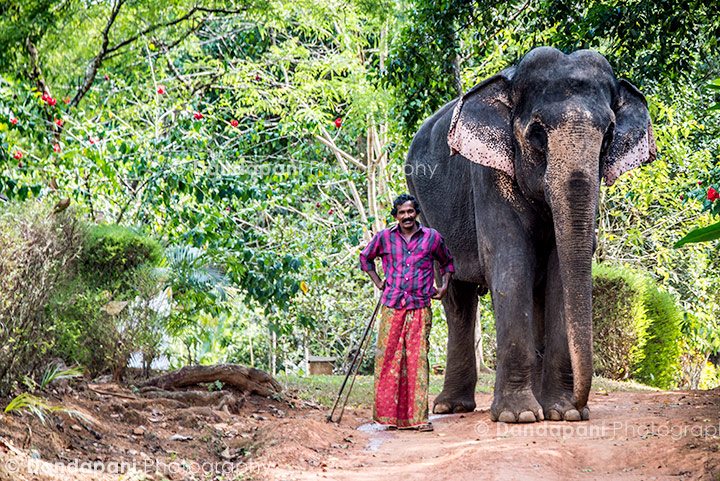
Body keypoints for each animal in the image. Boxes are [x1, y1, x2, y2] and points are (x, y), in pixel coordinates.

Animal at [404, 47, 660, 422]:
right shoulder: (489, 175)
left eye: (609, 135)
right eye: (537, 133)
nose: (583, 405)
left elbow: (559, 274)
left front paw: (562, 413)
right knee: (457, 298)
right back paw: (451, 407)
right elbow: (511, 265)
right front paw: (519, 416)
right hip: (426, 208)